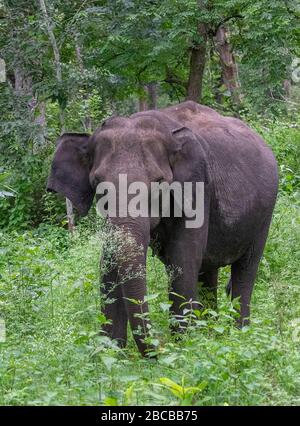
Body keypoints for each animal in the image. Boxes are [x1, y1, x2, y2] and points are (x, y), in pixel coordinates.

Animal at [47, 100, 278, 356]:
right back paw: (211, 333)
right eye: (97, 183)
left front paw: (184, 348)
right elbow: (108, 263)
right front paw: (111, 355)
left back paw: (240, 335)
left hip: (264, 214)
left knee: (245, 269)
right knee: (208, 271)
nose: (158, 348)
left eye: (158, 182)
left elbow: (182, 258)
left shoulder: (198, 189)